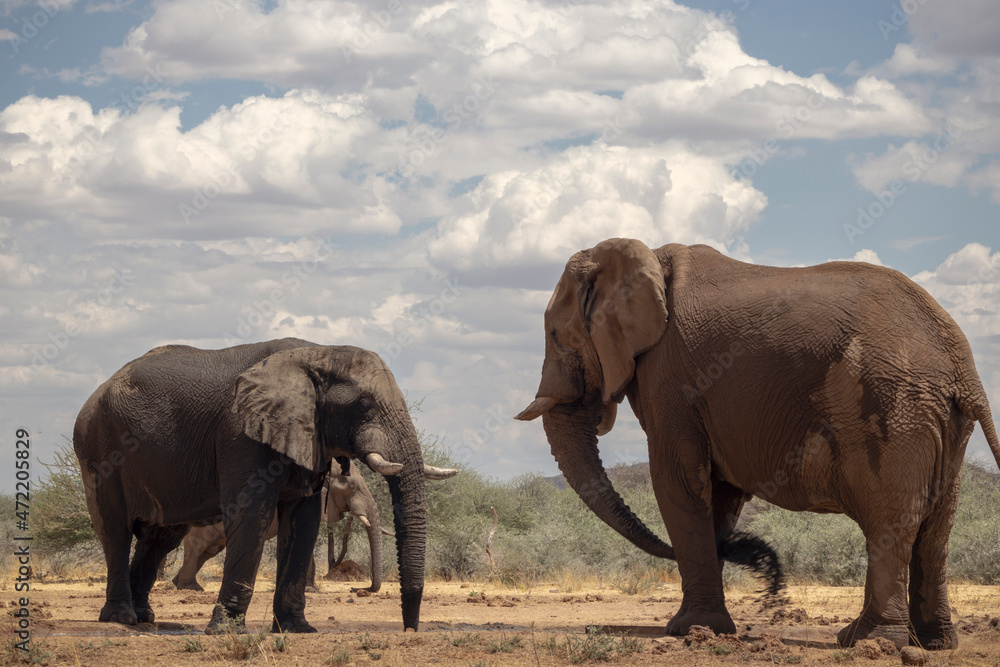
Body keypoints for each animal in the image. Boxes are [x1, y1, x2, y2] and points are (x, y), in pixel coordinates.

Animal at [171, 459, 393, 593]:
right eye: (351, 486)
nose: (358, 589)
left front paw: (311, 589)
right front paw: (309, 590)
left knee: (208, 552)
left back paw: (178, 582)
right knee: (198, 546)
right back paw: (191, 588)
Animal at [516, 238, 1000, 650]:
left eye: (556, 335)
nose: (767, 572)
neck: (646, 257)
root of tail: (962, 363)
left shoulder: (670, 378)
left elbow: (678, 481)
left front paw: (688, 631)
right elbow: (717, 493)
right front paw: (705, 628)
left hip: (892, 405)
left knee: (891, 523)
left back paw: (868, 642)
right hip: (941, 420)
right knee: (937, 528)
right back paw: (935, 643)